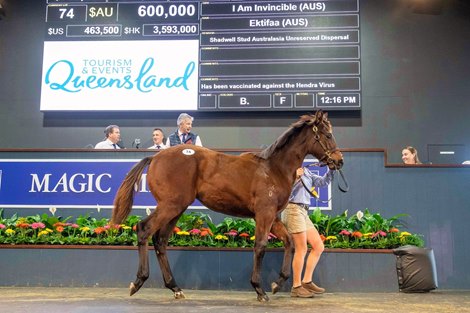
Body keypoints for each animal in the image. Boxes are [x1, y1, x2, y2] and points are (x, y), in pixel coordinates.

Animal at [112, 109, 344, 300]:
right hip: (171, 205)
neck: (273, 169)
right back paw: (138, 282)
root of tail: (155, 156)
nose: (339, 161)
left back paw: (175, 288)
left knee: (160, 241)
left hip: (177, 208)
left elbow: (289, 242)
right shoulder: (264, 214)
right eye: (328, 135)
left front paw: (277, 284)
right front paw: (259, 290)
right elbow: (261, 246)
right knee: (144, 229)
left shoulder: (274, 216)